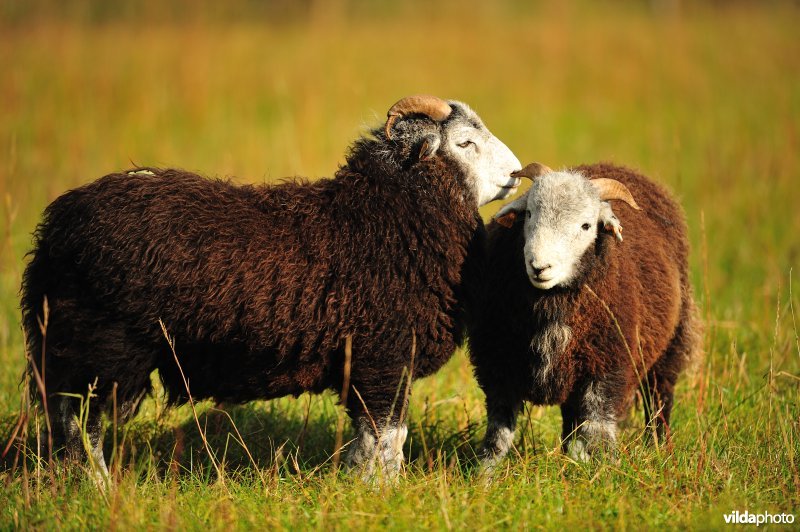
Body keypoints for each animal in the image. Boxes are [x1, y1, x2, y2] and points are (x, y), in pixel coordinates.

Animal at [20, 94, 524, 478]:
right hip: (102, 348)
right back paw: (98, 488)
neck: (382, 217)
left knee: (65, 423)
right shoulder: (383, 358)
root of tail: (56, 228)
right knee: (81, 426)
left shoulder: (370, 366)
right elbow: (387, 441)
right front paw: (382, 494)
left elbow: (373, 443)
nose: (517, 173)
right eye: (464, 142)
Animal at [468, 162, 700, 470]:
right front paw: (484, 474)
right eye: (529, 213)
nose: (539, 267)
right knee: (572, 420)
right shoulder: (497, 366)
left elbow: (600, 429)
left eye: (586, 225)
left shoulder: (607, 367)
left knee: (658, 402)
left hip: (668, 348)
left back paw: (659, 448)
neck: (551, 303)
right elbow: (498, 434)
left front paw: (607, 471)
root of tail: (615, 165)